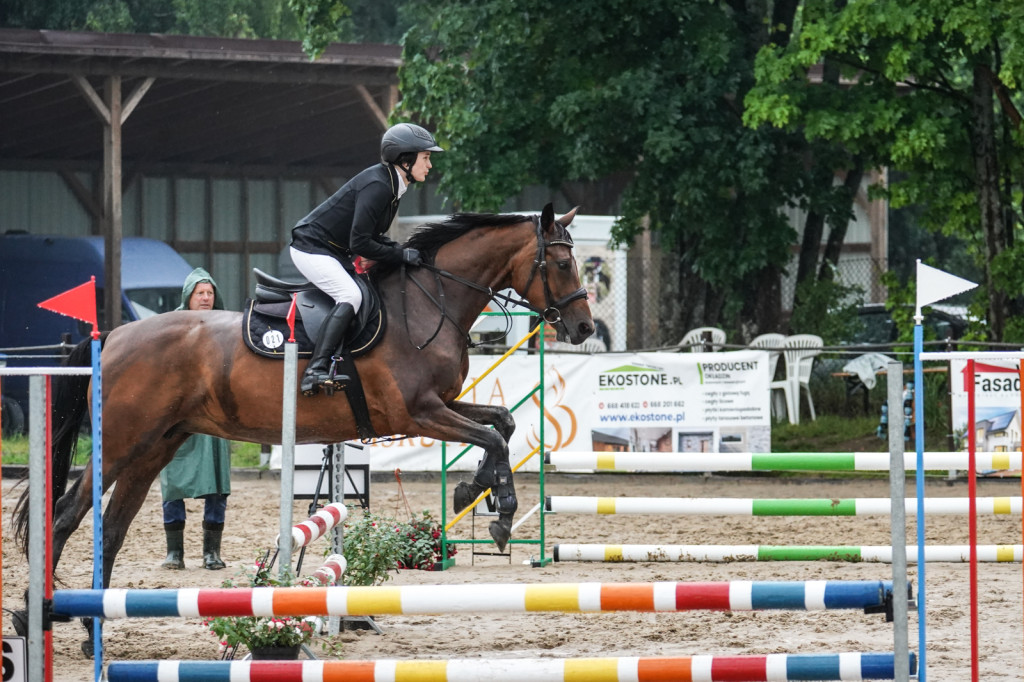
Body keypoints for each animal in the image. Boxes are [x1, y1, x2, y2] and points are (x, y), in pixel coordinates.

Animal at [14, 202, 593, 647]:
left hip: (156, 446)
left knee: (112, 529)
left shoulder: (442, 405)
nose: (585, 327)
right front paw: (501, 511)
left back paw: (91, 630)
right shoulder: (420, 412)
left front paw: (477, 491)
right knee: (67, 515)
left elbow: (502, 423)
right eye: (563, 262)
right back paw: (31, 616)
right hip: (122, 442)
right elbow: (493, 434)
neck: (429, 303)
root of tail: (113, 336)